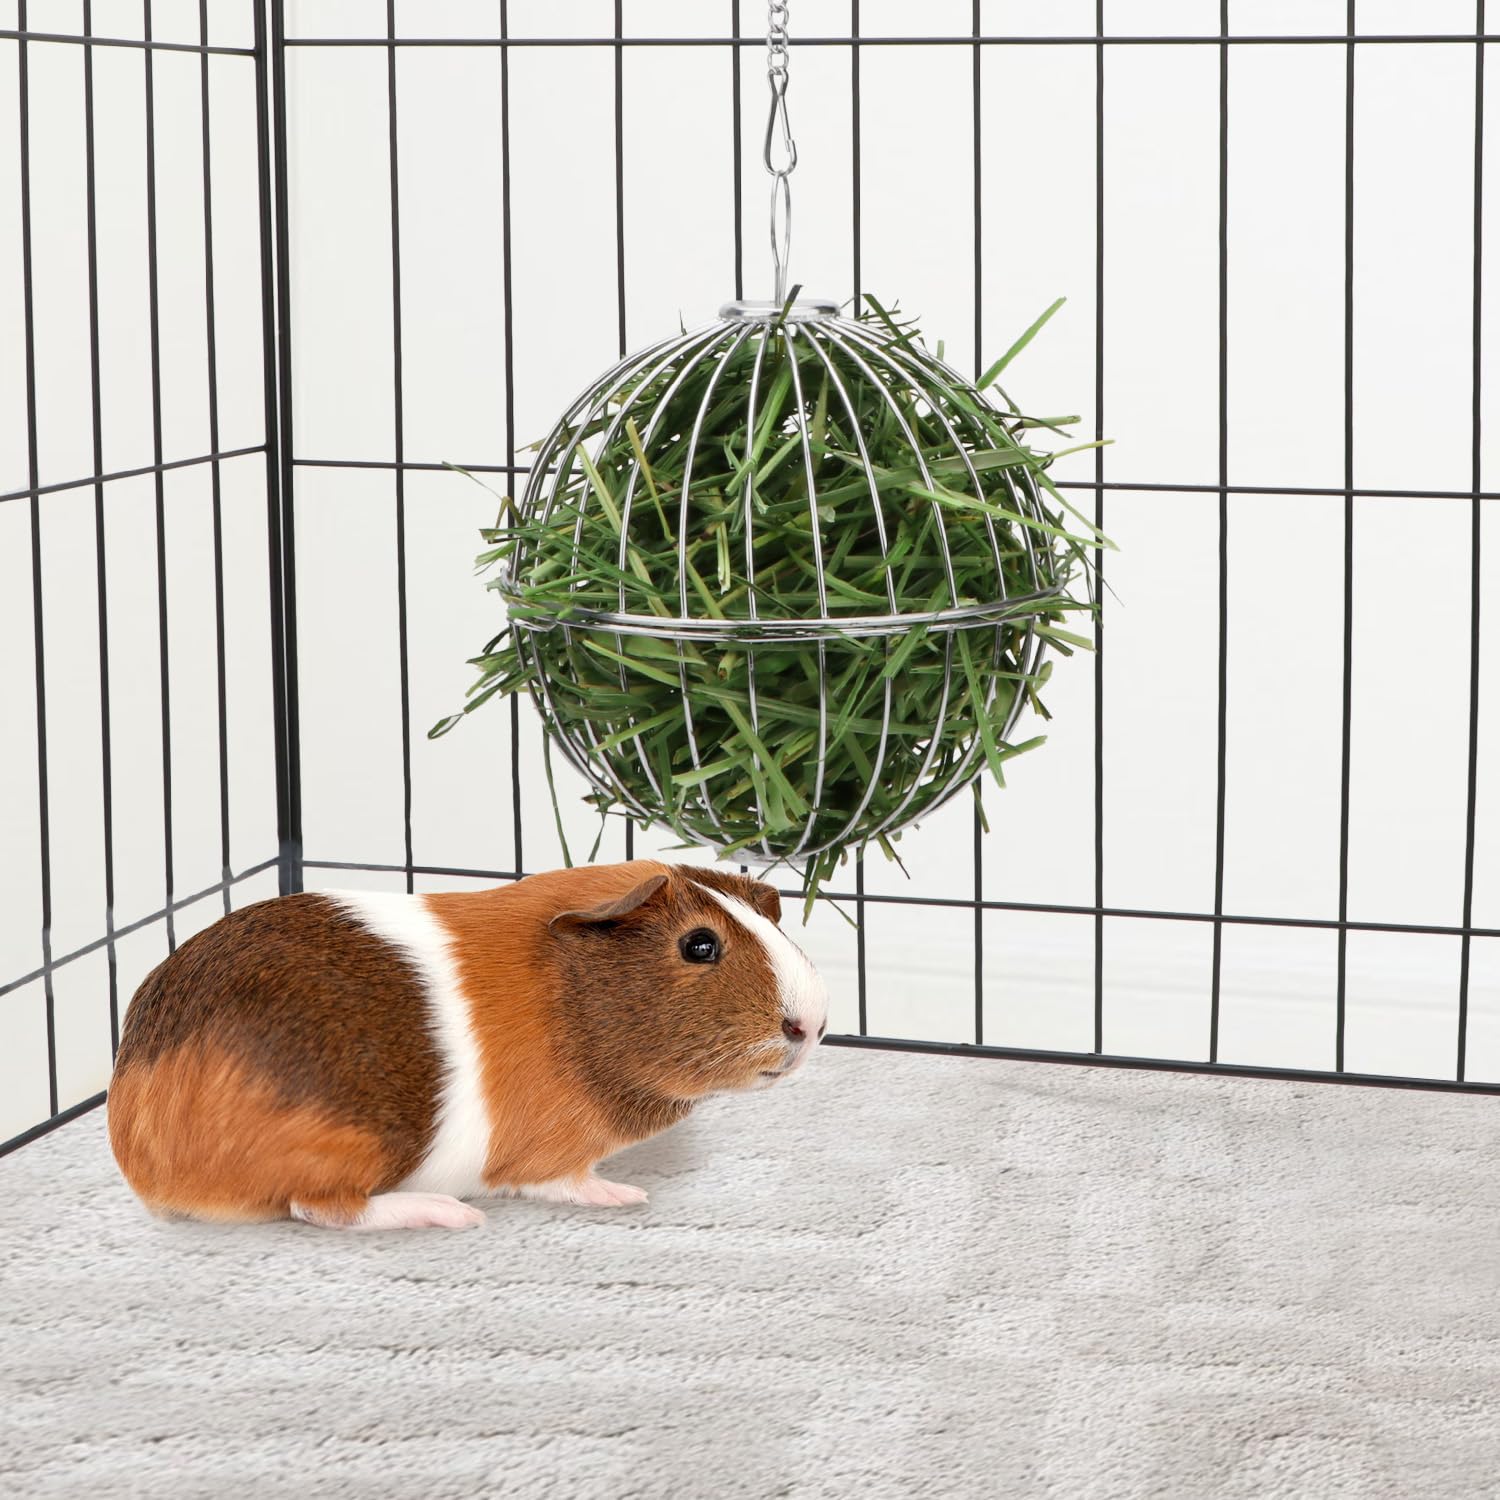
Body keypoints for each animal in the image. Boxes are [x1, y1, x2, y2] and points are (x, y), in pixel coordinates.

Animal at [106, 860, 828, 1232]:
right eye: (699, 945)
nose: (813, 1024)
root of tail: (140, 1146)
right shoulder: (545, 1157)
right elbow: (563, 1182)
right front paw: (626, 1197)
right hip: (356, 1144)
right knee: (322, 1208)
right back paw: (449, 1215)